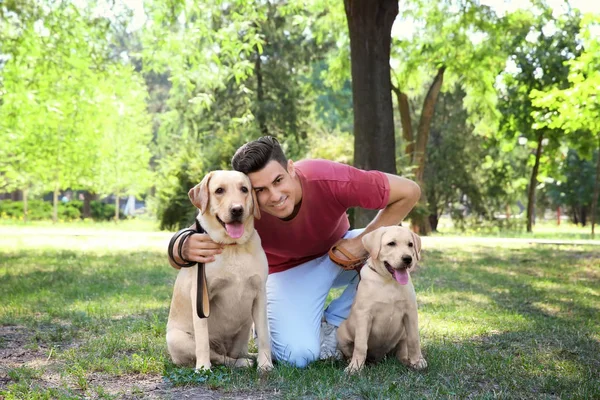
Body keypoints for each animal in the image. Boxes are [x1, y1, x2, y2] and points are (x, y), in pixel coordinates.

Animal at [168, 170, 274, 374]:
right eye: (219, 190)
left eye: (244, 189)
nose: (237, 209)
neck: (233, 247)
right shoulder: (201, 296)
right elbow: (202, 340)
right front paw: (203, 368)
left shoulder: (260, 294)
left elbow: (265, 334)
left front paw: (266, 364)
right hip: (176, 338)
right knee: (219, 357)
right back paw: (239, 363)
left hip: (246, 327)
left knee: (236, 352)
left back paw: (250, 357)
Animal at [338, 227, 426, 374]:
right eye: (391, 244)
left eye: (410, 245)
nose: (408, 259)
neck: (389, 281)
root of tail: (378, 358)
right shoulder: (364, 315)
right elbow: (361, 344)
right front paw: (355, 367)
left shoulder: (411, 312)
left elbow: (414, 339)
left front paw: (417, 361)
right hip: (341, 334)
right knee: (350, 350)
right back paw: (351, 361)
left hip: (402, 334)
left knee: (402, 349)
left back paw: (406, 360)